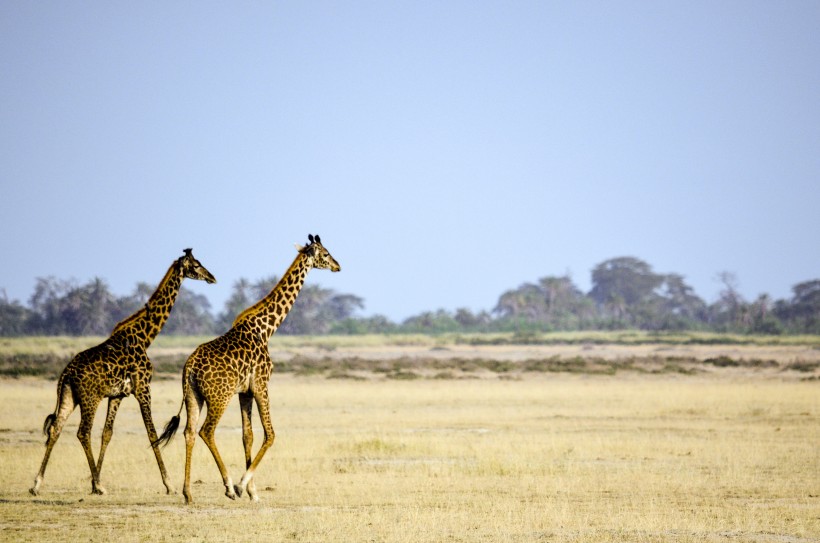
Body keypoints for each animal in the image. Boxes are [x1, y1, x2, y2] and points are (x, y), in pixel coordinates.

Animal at [29, 250, 215, 498]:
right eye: (196, 265)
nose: (212, 277)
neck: (145, 337)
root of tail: (66, 374)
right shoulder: (143, 388)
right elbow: (152, 432)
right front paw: (169, 484)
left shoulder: (117, 395)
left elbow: (107, 433)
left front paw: (93, 481)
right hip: (90, 398)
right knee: (82, 432)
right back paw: (99, 485)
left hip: (69, 396)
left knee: (56, 428)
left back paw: (36, 484)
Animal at [155, 234, 342, 506]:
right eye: (326, 253)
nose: (338, 266)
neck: (266, 328)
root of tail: (189, 367)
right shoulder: (262, 383)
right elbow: (270, 434)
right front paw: (243, 487)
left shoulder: (245, 390)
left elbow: (248, 435)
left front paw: (253, 491)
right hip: (219, 397)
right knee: (206, 431)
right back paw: (228, 487)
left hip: (192, 395)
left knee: (189, 432)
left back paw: (188, 493)